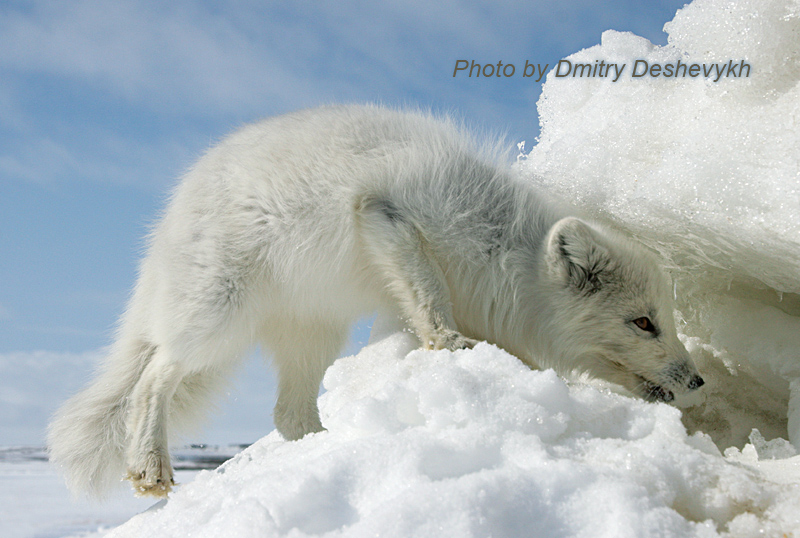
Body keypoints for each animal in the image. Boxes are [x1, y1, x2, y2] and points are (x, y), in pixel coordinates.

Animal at [48, 104, 700, 498]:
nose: (696, 380)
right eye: (643, 323)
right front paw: (451, 346)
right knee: (154, 374)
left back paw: (330, 450)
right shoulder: (388, 215)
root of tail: (167, 219)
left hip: (314, 335)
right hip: (217, 319)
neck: (502, 249)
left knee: (288, 416)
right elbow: (430, 295)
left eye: (666, 320)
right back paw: (151, 466)